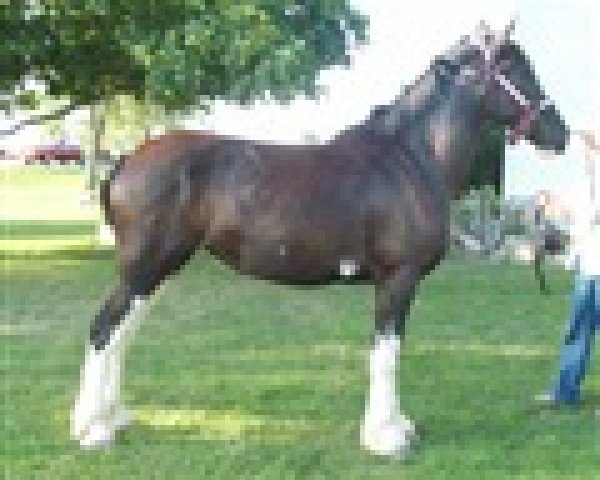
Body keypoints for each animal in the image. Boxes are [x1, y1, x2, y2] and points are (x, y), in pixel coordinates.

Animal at [71, 23, 568, 458]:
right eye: (515, 66)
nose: (560, 133)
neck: (410, 158)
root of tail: (128, 159)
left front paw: (397, 427)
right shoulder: (398, 280)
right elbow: (387, 354)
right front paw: (387, 437)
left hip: (158, 270)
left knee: (122, 332)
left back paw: (113, 418)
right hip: (146, 268)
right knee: (104, 328)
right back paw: (93, 430)